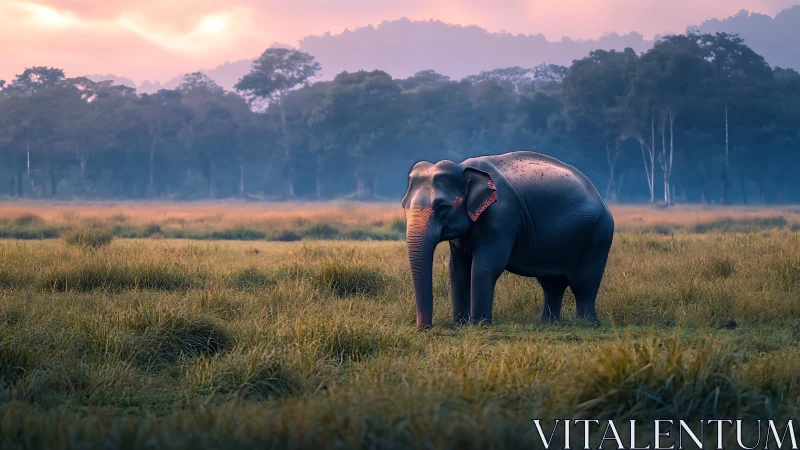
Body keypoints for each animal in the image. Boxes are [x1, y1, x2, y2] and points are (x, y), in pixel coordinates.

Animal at [401, 151, 614, 328]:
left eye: (442, 207)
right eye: (404, 205)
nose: (425, 328)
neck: (464, 168)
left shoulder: (501, 217)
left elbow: (485, 266)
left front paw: (478, 326)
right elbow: (458, 269)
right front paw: (460, 325)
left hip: (598, 236)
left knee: (584, 284)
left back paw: (588, 324)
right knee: (552, 284)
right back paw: (548, 324)